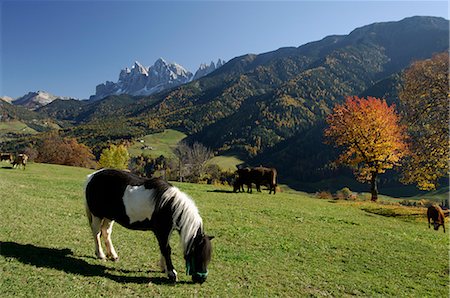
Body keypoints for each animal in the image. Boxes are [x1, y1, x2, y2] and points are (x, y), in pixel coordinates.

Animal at [85, 169, 214, 282]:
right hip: (97, 215)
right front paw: (171, 273)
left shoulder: (167, 232)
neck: (169, 205)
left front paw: (164, 268)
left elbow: (163, 248)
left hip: (109, 217)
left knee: (106, 232)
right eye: (198, 254)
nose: (202, 279)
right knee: (97, 233)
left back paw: (113, 255)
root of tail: (92, 176)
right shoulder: (162, 231)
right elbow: (166, 249)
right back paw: (101, 255)